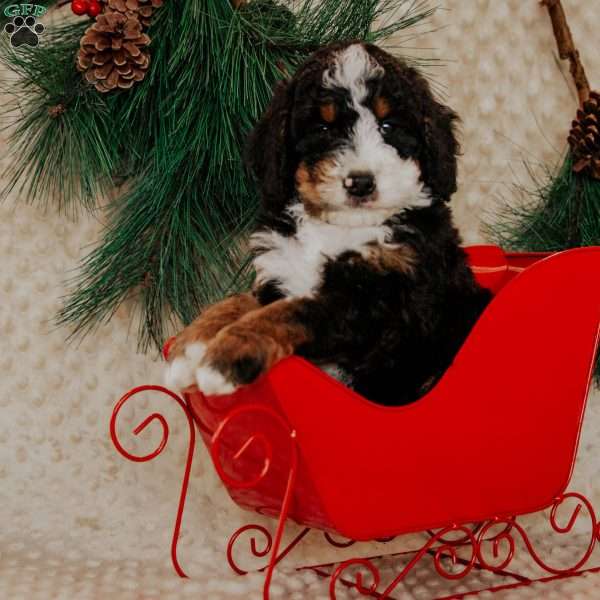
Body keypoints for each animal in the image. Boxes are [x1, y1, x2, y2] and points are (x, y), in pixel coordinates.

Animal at [165, 39, 492, 406]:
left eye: (388, 127)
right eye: (322, 130)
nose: (360, 182)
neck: (340, 227)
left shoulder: (380, 308)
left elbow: (294, 310)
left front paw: (229, 354)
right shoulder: (281, 271)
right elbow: (241, 300)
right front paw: (191, 345)